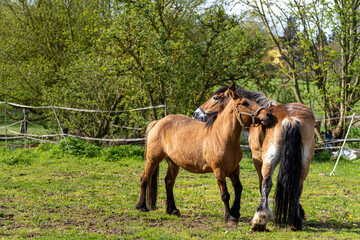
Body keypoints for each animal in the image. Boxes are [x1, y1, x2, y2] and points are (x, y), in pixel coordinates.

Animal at [135, 85, 272, 224]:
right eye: (244, 103)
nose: (268, 114)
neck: (222, 136)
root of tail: (158, 122)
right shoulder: (219, 171)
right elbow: (225, 195)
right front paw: (229, 216)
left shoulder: (234, 169)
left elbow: (238, 189)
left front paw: (236, 212)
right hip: (153, 159)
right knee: (145, 178)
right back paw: (141, 206)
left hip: (173, 162)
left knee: (169, 181)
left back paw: (172, 210)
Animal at [193, 86, 314, 231]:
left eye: (215, 98)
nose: (195, 114)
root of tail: (291, 119)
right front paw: (300, 211)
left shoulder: (257, 159)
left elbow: (262, 185)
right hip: (304, 161)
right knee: (298, 186)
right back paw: (295, 221)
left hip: (269, 159)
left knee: (267, 183)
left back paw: (260, 219)